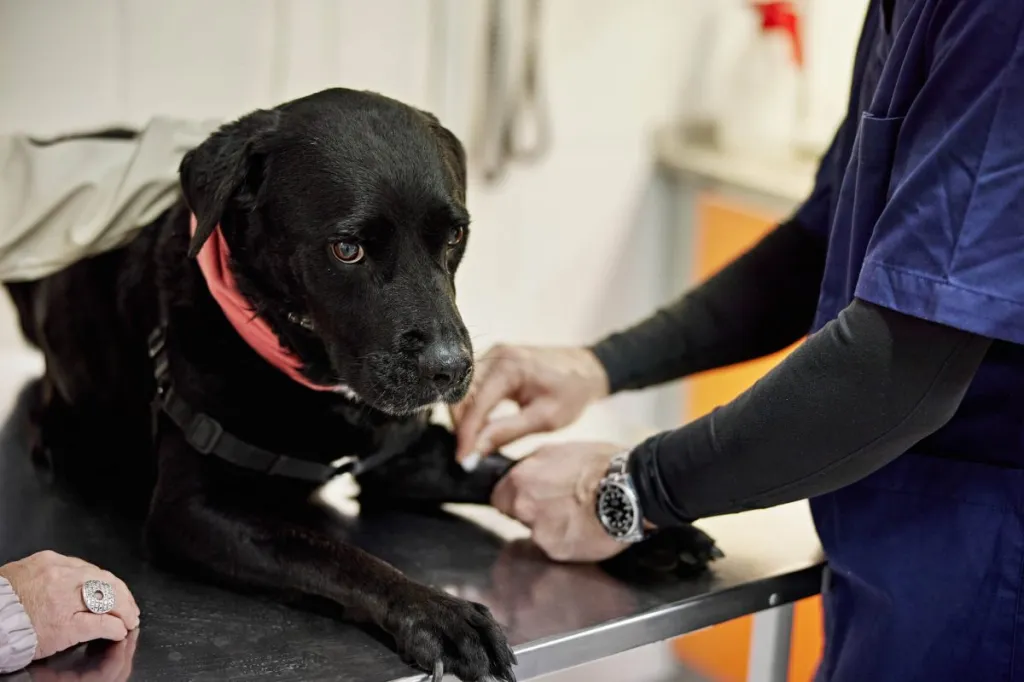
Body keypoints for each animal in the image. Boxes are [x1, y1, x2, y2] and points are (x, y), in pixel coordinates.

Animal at [4, 87, 720, 675]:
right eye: (347, 249)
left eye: (454, 236)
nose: (451, 368)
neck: (308, 371)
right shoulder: (191, 512)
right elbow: (332, 555)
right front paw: (437, 611)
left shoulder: (402, 458)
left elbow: (502, 467)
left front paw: (636, 532)